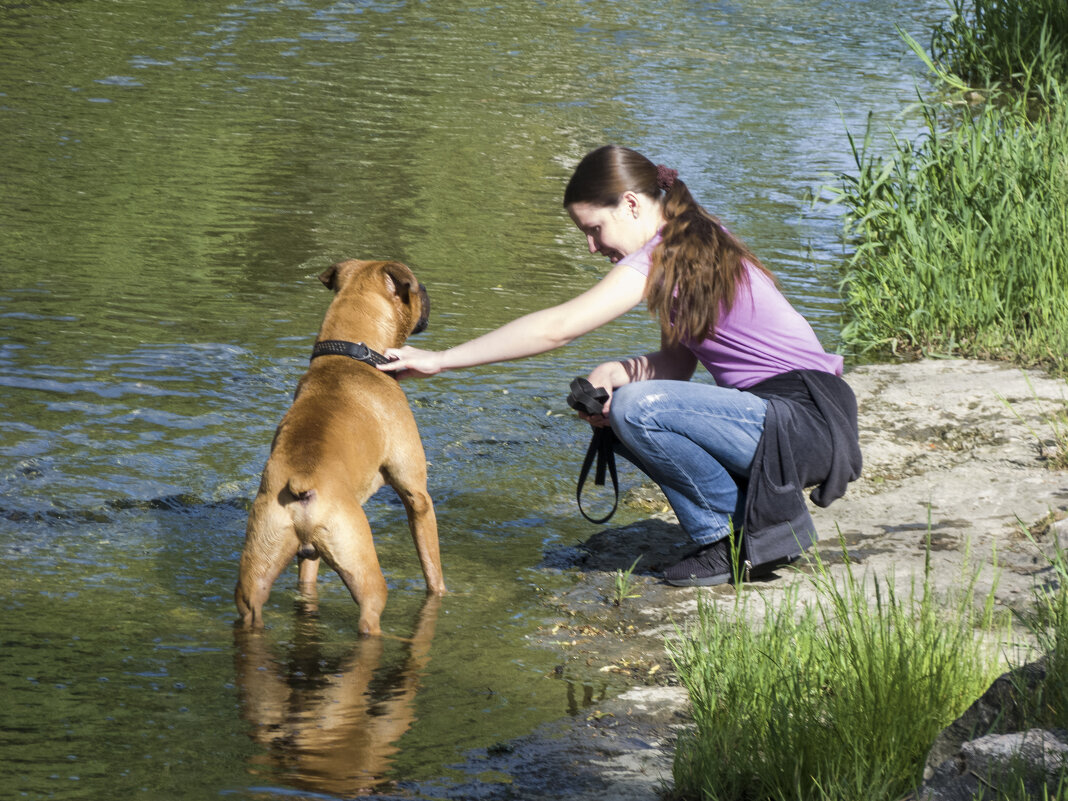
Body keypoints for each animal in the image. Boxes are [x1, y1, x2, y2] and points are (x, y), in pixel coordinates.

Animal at [236, 260, 444, 636]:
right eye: (417, 287)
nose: (427, 291)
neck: (349, 355)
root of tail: (301, 484)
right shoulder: (416, 495)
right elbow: (432, 567)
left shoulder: (309, 556)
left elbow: (307, 577)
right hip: (366, 575)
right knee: (369, 618)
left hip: (255, 576)